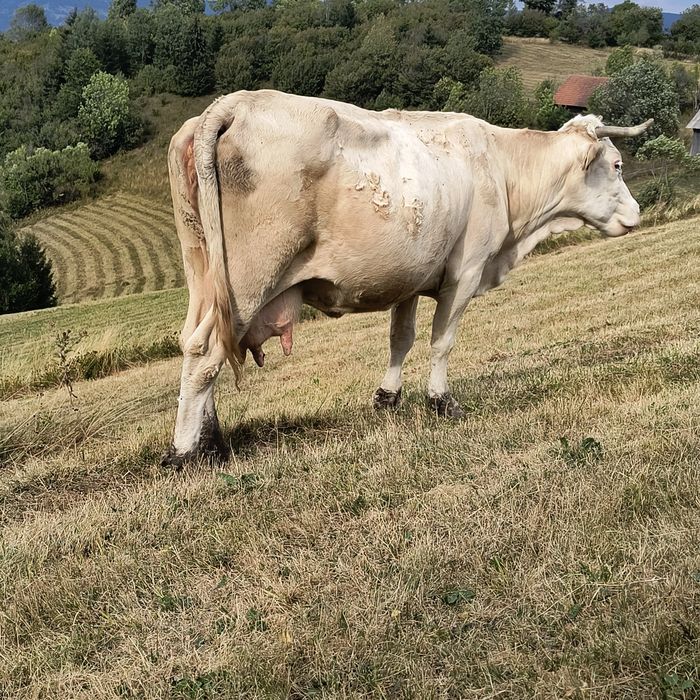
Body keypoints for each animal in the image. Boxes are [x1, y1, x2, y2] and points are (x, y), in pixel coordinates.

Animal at [164, 89, 652, 466]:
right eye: (617, 165)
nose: (637, 214)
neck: (501, 167)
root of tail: (233, 103)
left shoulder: (411, 275)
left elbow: (401, 338)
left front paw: (388, 397)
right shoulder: (465, 271)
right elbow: (442, 340)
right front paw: (441, 401)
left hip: (204, 273)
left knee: (195, 341)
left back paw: (210, 438)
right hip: (250, 278)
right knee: (205, 352)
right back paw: (186, 451)